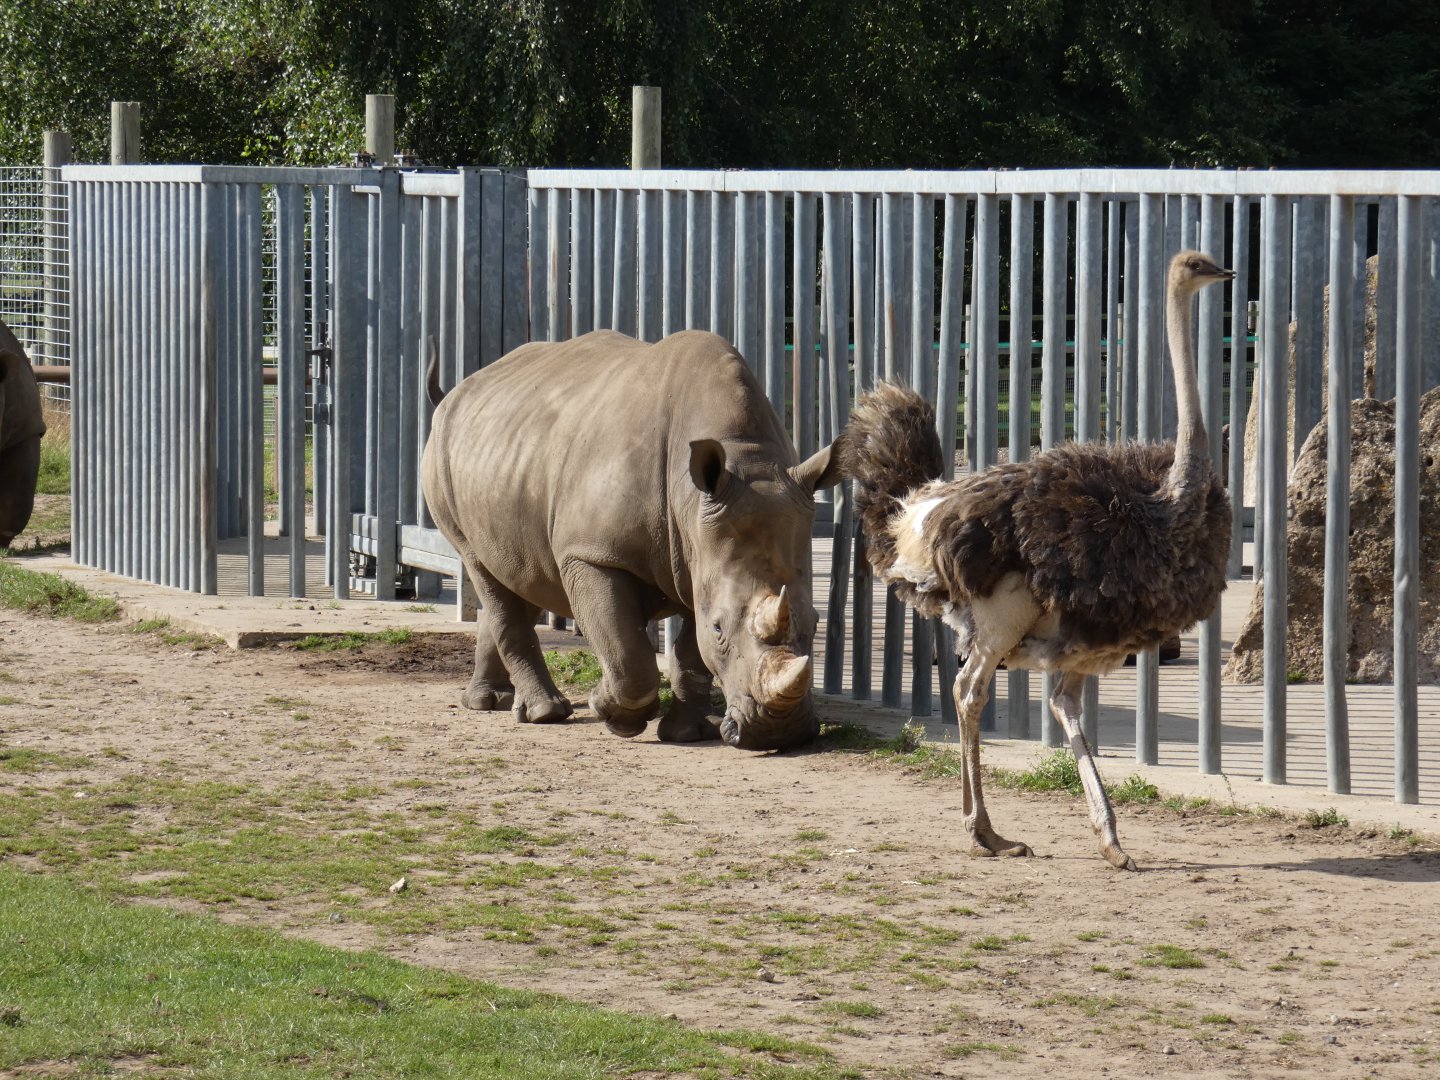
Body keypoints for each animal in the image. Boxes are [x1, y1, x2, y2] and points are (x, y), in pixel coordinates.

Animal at [421, 329, 841, 751]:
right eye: (720, 629)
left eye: (816, 623)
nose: (778, 732)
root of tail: (457, 393)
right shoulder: (592, 554)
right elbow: (628, 656)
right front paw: (612, 712)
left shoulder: (701, 554)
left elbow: (690, 653)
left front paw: (687, 733)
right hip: (442, 464)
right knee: (482, 569)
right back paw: (544, 713)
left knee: (519, 574)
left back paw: (494, 702)